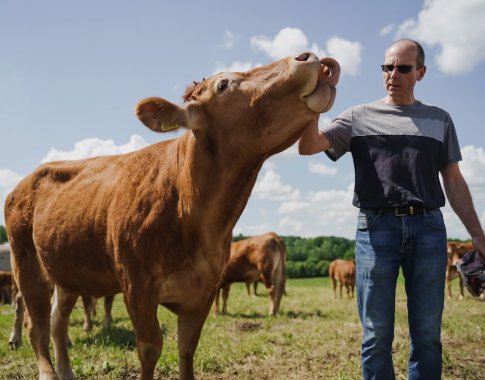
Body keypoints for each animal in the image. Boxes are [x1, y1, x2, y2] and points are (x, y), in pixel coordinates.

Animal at [5, 51, 338, 380]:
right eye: (223, 85)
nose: (307, 57)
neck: (196, 217)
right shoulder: (137, 286)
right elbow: (150, 348)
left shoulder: (204, 288)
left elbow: (187, 348)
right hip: (26, 263)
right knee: (37, 325)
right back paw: (47, 370)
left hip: (66, 272)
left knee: (57, 321)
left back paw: (65, 370)